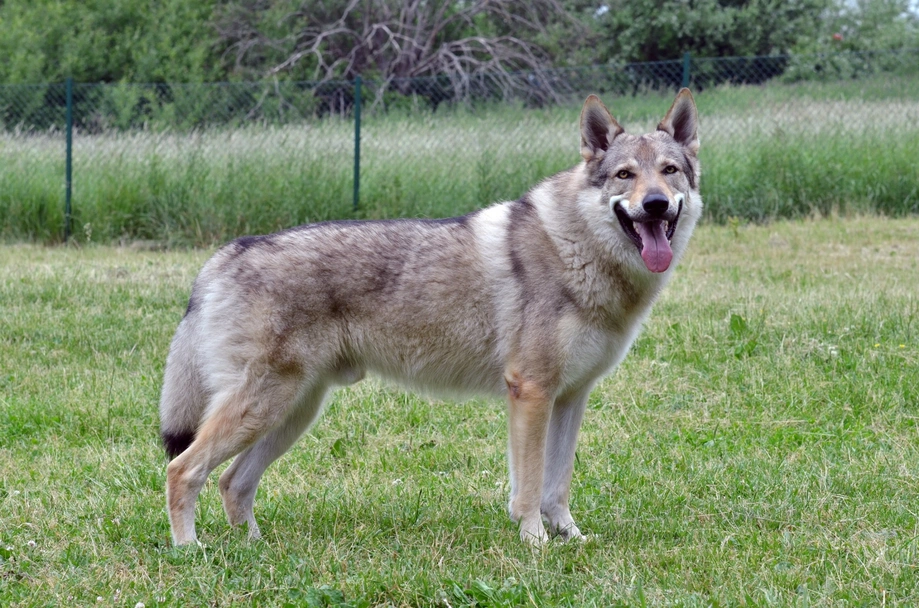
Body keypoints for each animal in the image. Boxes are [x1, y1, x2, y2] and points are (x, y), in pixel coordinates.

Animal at [160, 89, 702, 546]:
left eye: (670, 171)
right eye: (625, 175)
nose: (655, 204)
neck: (578, 250)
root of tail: (225, 254)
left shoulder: (571, 397)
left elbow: (558, 485)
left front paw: (571, 538)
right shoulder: (531, 393)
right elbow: (528, 487)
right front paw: (535, 543)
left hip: (294, 411)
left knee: (232, 482)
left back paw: (254, 548)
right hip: (266, 406)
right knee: (182, 470)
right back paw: (191, 550)